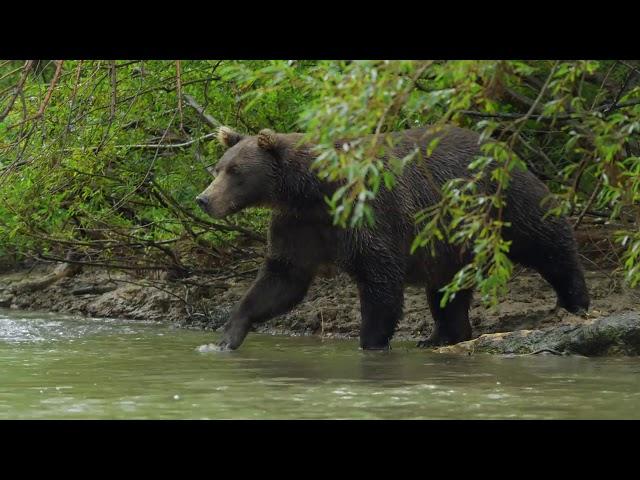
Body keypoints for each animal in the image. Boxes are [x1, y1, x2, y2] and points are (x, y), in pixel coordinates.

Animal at [195, 124, 592, 348]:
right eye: (219, 168)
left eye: (236, 171)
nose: (204, 199)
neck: (311, 191)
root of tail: (502, 146)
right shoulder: (299, 226)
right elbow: (281, 280)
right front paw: (227, 336)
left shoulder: (369, 215)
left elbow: (380, 282)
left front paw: (370, 342)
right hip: (450, 241)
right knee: (446, 290)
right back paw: (440, 337)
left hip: (503, 201)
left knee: (547, 241)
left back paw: (575, 302)